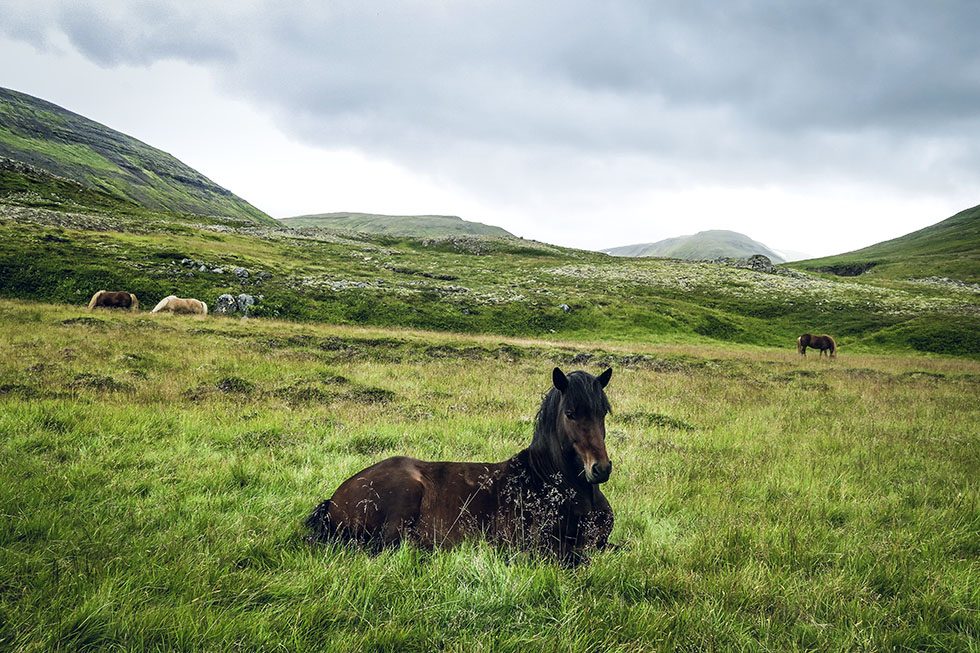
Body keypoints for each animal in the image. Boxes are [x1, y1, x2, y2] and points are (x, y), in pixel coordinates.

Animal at [306, 364, 612, 564]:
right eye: (570, 413)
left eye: (603, 413)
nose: (601, 468)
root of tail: (332, 500)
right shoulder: (538, 547)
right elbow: (580, 558)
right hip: (405, 495)